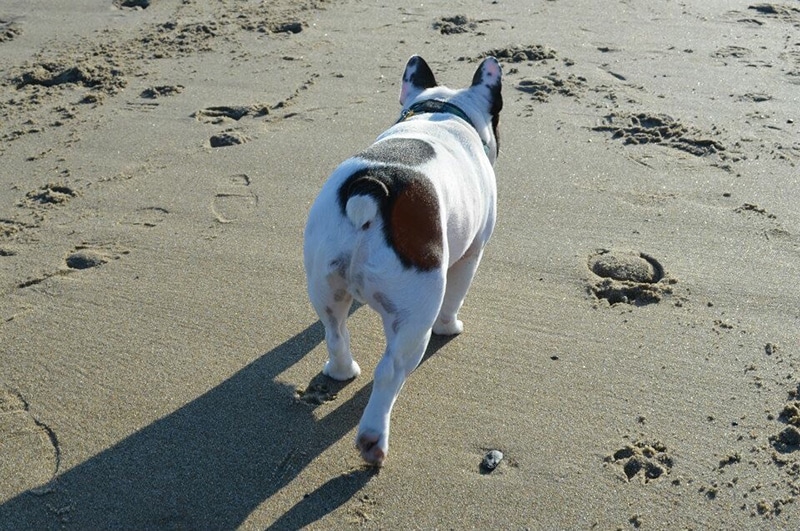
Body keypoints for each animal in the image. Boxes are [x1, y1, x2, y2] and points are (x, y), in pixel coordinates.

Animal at [304, 54, 504, 466]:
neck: (440, 112)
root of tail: (372, 186)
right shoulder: (472, 252)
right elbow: (456, 296)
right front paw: (451, 326)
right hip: (415, 316)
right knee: (390, 371)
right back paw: (372, 440)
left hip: (325, 281)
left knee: (334, 331)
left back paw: (341, 371)